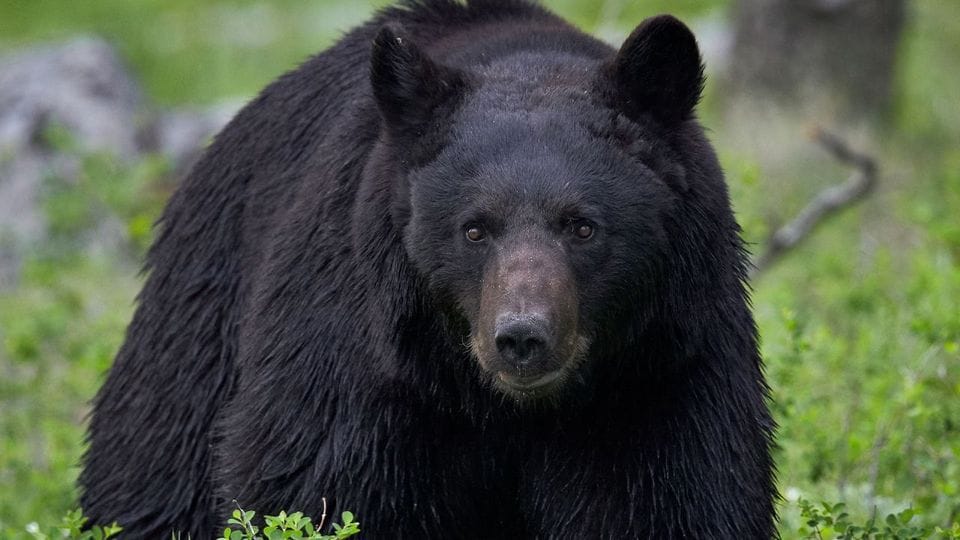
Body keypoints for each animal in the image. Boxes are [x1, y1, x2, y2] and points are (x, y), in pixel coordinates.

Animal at [79, 2, 776, 536]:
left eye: (582, 225)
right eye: (474, 228)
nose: (522, 338)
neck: (505, 409)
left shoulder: (661, 373)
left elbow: (671, 501)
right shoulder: (362, 362)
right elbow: (317, 492)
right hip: (202, 331)